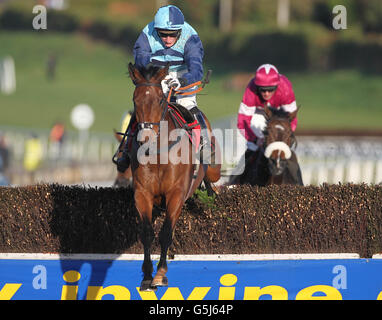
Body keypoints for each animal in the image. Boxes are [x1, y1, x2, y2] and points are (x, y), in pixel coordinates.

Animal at [126, 62, 219, 290]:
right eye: (135, 99)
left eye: (160, 99)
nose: (145, 137)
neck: (158, 153)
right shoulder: (142, 193)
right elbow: (147, 232)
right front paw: (147, 275)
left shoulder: (176, 194)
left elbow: (166, 232)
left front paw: (160, 273)